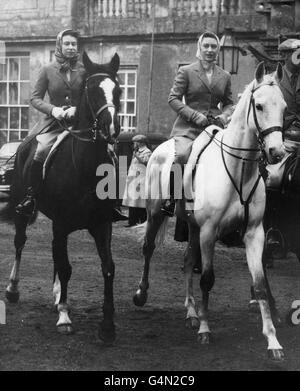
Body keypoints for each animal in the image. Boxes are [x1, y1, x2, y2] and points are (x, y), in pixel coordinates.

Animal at [0, 51, 122, 344]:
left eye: (118, 90)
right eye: (92, 90)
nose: (112, 127)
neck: (86, 170)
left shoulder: (102, 225)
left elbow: (108, 267)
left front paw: (107, 325)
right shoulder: (62, 223)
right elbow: (66, 267)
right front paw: (65, 318)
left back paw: (57, 295)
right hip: (25, 211)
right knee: (20, 243)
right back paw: (13, 289)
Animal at [133, 63, 286, 362]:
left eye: (284, 107)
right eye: (259, 105)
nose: (277, 152)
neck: (239, 171)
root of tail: (159, 147)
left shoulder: (254, 233)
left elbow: (260, 284)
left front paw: (273, 340)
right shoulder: (209, 231)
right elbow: (207, 279)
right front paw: (205, 329)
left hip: (192, 227)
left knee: (186, 260)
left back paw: (191, 312)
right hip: (157, 214)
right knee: (148, 250)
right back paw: (142, 294)